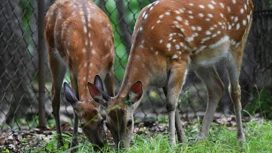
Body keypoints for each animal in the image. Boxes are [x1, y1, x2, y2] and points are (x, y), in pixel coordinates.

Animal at [44, 0, 114, 150]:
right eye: (83, 125)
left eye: (101, 120)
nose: (99, 146)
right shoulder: (73, 69)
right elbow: (75, 104)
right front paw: (74, 145)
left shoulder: (110, 66)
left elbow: (112, 98)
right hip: (52, 51)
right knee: (54, 97)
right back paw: (60, 143)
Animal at [91, 0, 255, 148]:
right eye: (107, 123)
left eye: (129, 122)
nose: (122, 147)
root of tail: (251, 3)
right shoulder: (164, 76)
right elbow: (172, 105)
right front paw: (183, 141)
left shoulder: (179, 59)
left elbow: (170, 104)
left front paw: (172, 143)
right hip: (202, 60)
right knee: (216, 87)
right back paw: (201, 139)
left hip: (238, 41)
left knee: (235, 90)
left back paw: (240, 139)